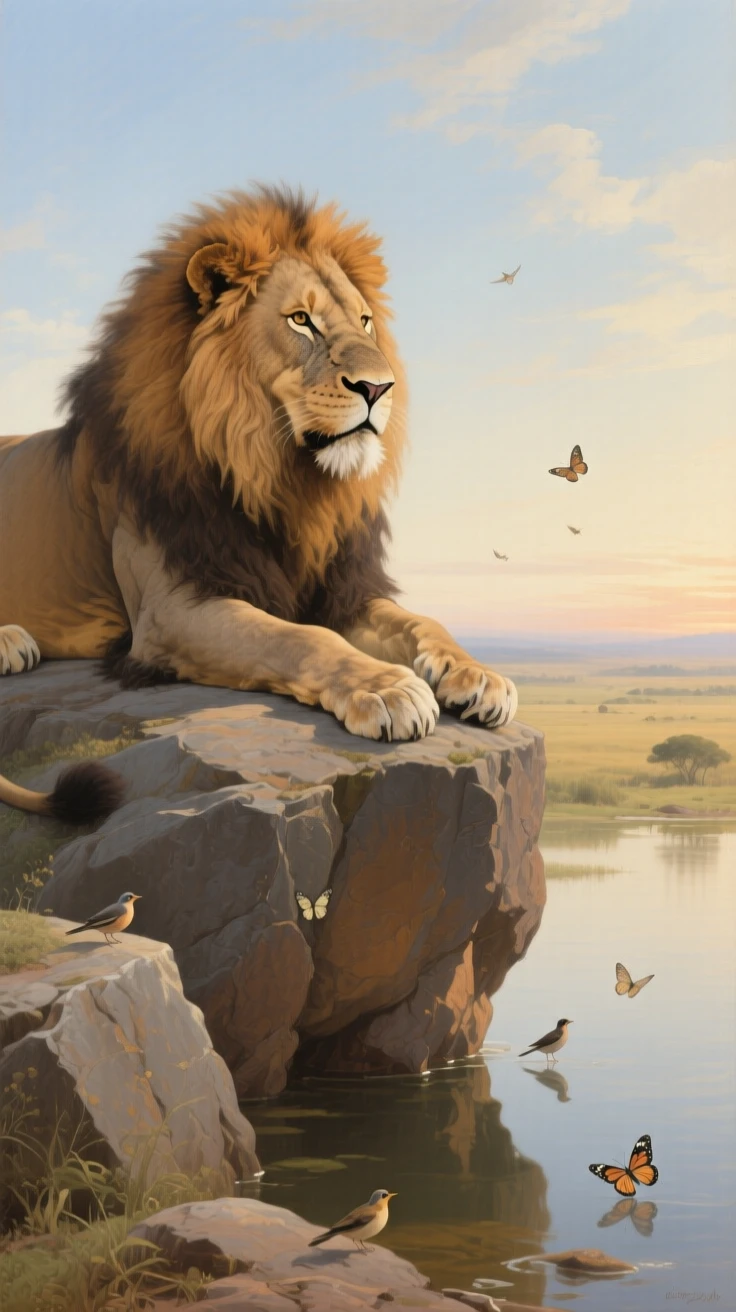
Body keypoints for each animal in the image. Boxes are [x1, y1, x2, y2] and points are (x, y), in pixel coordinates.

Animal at [0, 186, 517, 822]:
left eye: (365, 321)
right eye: (301, 320)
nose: (379, 388)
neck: (281, 480)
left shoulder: (336, 587)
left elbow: (420, 620)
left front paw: (475, 673)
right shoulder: (169, 611)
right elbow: (297, 638)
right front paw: (388, 689)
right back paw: (11, 642)